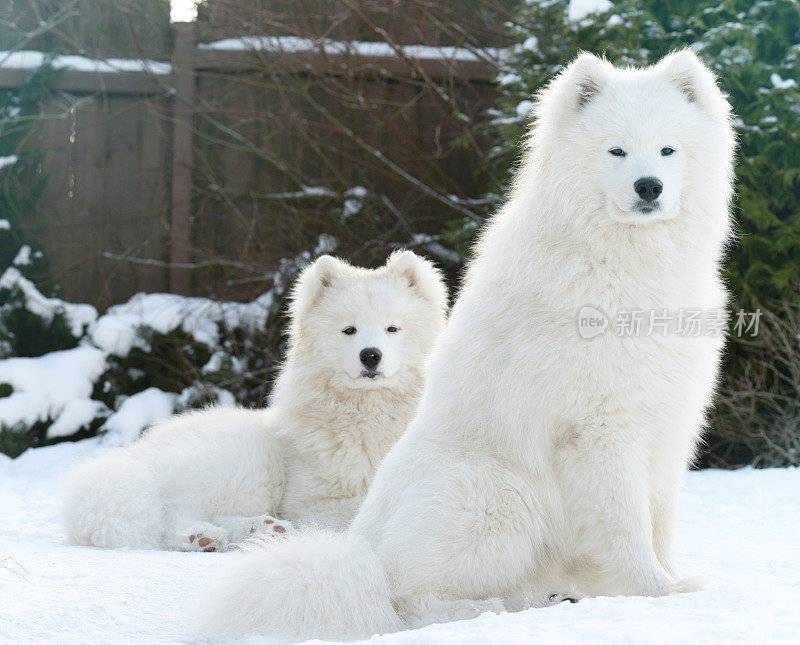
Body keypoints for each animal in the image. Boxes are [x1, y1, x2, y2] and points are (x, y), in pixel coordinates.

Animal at [61, 249, 450, 552]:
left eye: (392, 328)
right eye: (349, 330)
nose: (370, 356)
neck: (370, 411)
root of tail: (136, 456)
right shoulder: (316, 502)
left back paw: (260, 530)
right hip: (243, 465)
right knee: (168, 516)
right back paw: (203, 536)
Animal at [203, 50, 736, 640]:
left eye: (668, 149)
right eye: (616, 150)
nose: (649, 186)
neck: (629, 263)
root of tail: (366, 556)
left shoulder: (667, 424)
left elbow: (661, 522)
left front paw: (669, 581)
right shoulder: (601, 430)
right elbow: (628, 526)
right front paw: (658, 591)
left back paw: (549, 598)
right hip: (497, 493)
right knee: (410, 604)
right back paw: (492, 610)